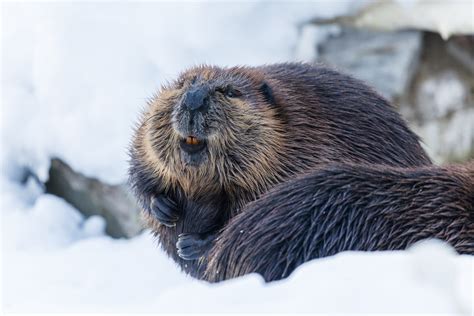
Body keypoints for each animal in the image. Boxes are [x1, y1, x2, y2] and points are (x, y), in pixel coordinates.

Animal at [128, 61, 432, 278]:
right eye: (182, 84)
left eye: (230, 92)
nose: (193, 99)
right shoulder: (144, 138)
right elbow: (140, 165)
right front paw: (163, 208)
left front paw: (192, 244)